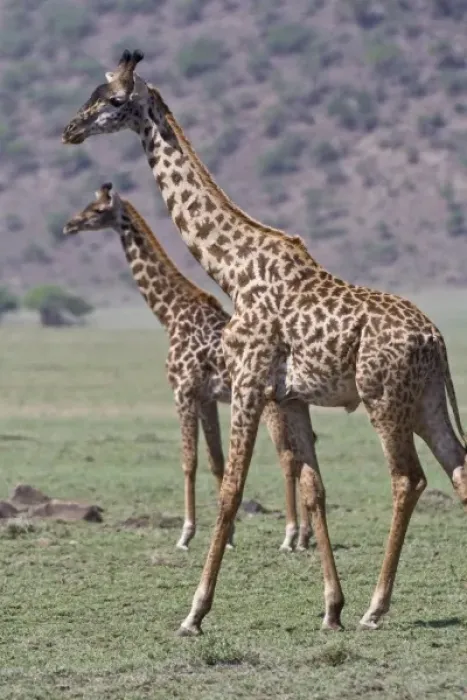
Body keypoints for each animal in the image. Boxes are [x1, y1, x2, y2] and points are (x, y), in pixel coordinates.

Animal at [62, 181, 314, 552]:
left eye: (97, 210)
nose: (69, 225)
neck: (170, 312)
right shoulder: (206, 398)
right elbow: (215, 461)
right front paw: (228, 536)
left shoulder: (182, 390)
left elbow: (188, 461)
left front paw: (186, 533)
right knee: (303, 454)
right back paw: (306, 535)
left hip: (270, 405)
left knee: (287, 456)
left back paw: (291, 534)